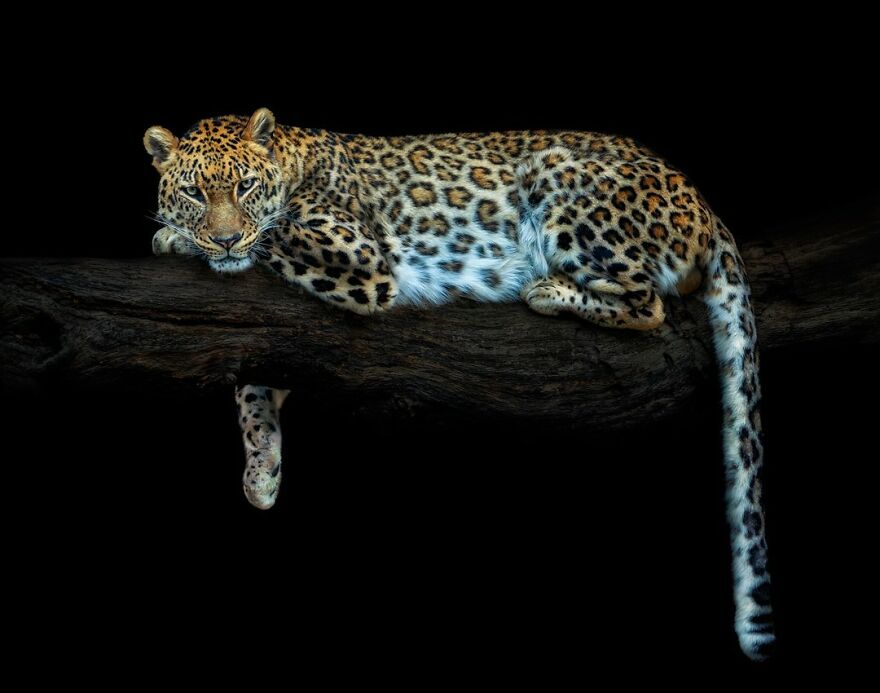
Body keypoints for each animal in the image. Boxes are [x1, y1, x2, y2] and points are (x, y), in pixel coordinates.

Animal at [144, 108, 774, 660]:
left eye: (245, 186)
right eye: (195, 192)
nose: (224, 239)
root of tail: (702, 200)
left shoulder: (360, 258)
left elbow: (274, 236)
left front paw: (179, 241)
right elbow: (255, 386)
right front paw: (262, 473)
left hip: (558, 180)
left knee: (648, 303)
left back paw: (547, 290)